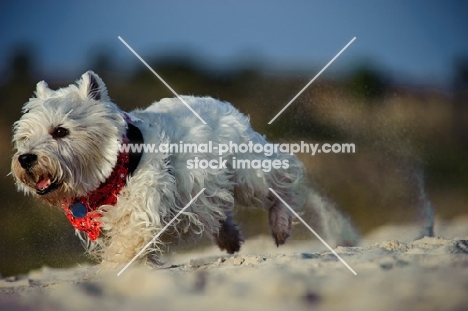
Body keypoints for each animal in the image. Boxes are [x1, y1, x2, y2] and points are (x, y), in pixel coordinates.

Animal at [12, 72, 360, 270]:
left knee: (284, 179)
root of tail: (219, 102)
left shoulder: (141, 211)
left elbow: (124, 248)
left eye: (60, 131)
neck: (114, 169)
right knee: (220, 211)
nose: (26, 159)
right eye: (25, 137)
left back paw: (280, 225)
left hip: (248, 173)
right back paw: (229, 239)